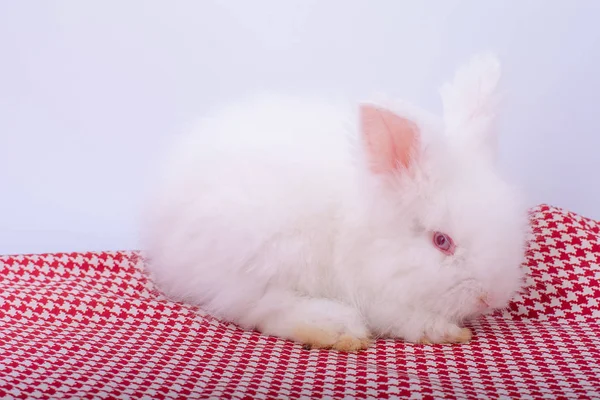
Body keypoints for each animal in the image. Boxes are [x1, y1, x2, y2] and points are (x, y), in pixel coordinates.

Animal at [143, 53, 528, 350]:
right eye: (441, 241)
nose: (491, 297)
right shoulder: (374, 293)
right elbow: (403, 318)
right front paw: (445, 331)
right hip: (266, 254)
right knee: (260, 308)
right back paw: (336, 328)